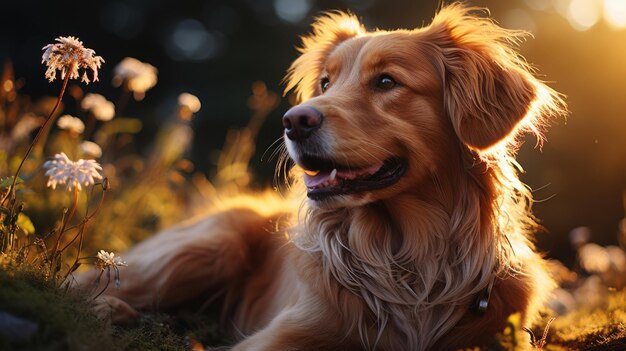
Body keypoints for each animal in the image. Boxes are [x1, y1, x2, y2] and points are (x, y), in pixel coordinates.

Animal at [77, 3, 564, 351]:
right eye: (326, 83)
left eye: (386, 82)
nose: (293, 121)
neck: (408, 262)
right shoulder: (281, 337)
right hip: (207, 245)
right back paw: (108, 308)